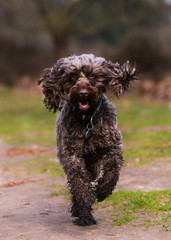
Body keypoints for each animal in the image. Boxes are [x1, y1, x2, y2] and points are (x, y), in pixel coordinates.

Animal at [38, 53, 136, 226]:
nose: (83, 92)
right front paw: (85, 208)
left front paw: (103, 191)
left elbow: (112, 168)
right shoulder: (72, 156)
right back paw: (80, 211)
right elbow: (80, 182)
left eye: (92, 76)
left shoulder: (113, 147)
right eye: (72, 76)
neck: (87, 119)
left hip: (93, 165)